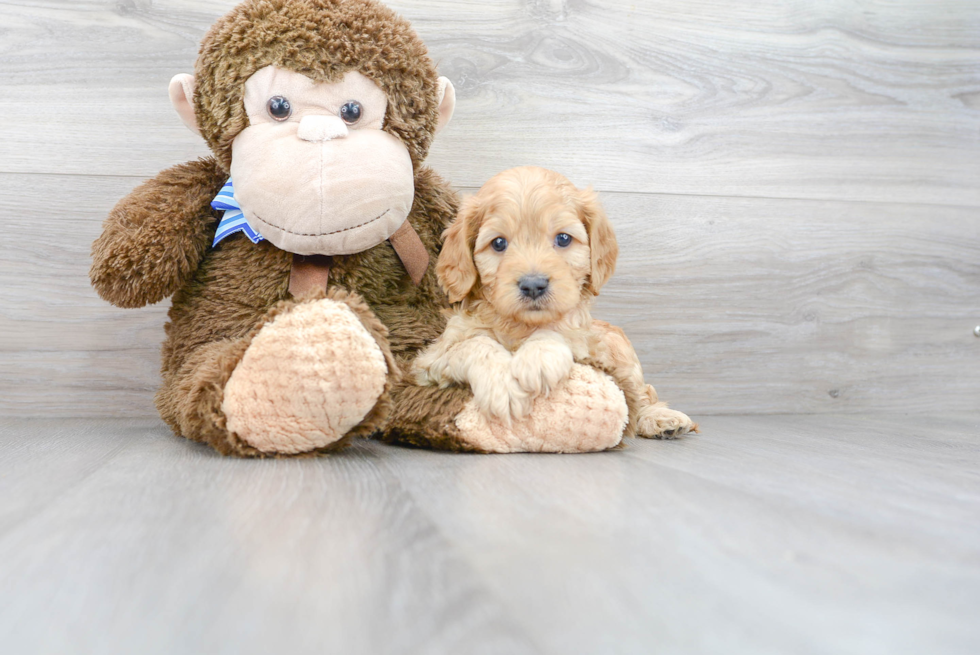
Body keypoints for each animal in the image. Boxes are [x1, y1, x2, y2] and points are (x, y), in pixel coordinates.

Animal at [416, 167, 696, 440]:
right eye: (498, 243)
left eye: (563, 239)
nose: (533, 285)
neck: (521, 326)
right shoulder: (429, 362)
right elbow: (474, 344)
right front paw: (504, 384)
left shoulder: (585, 344)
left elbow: (560, 330)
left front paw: (538, 357)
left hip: (622, 355)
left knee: (640, 394)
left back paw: (660, 418)